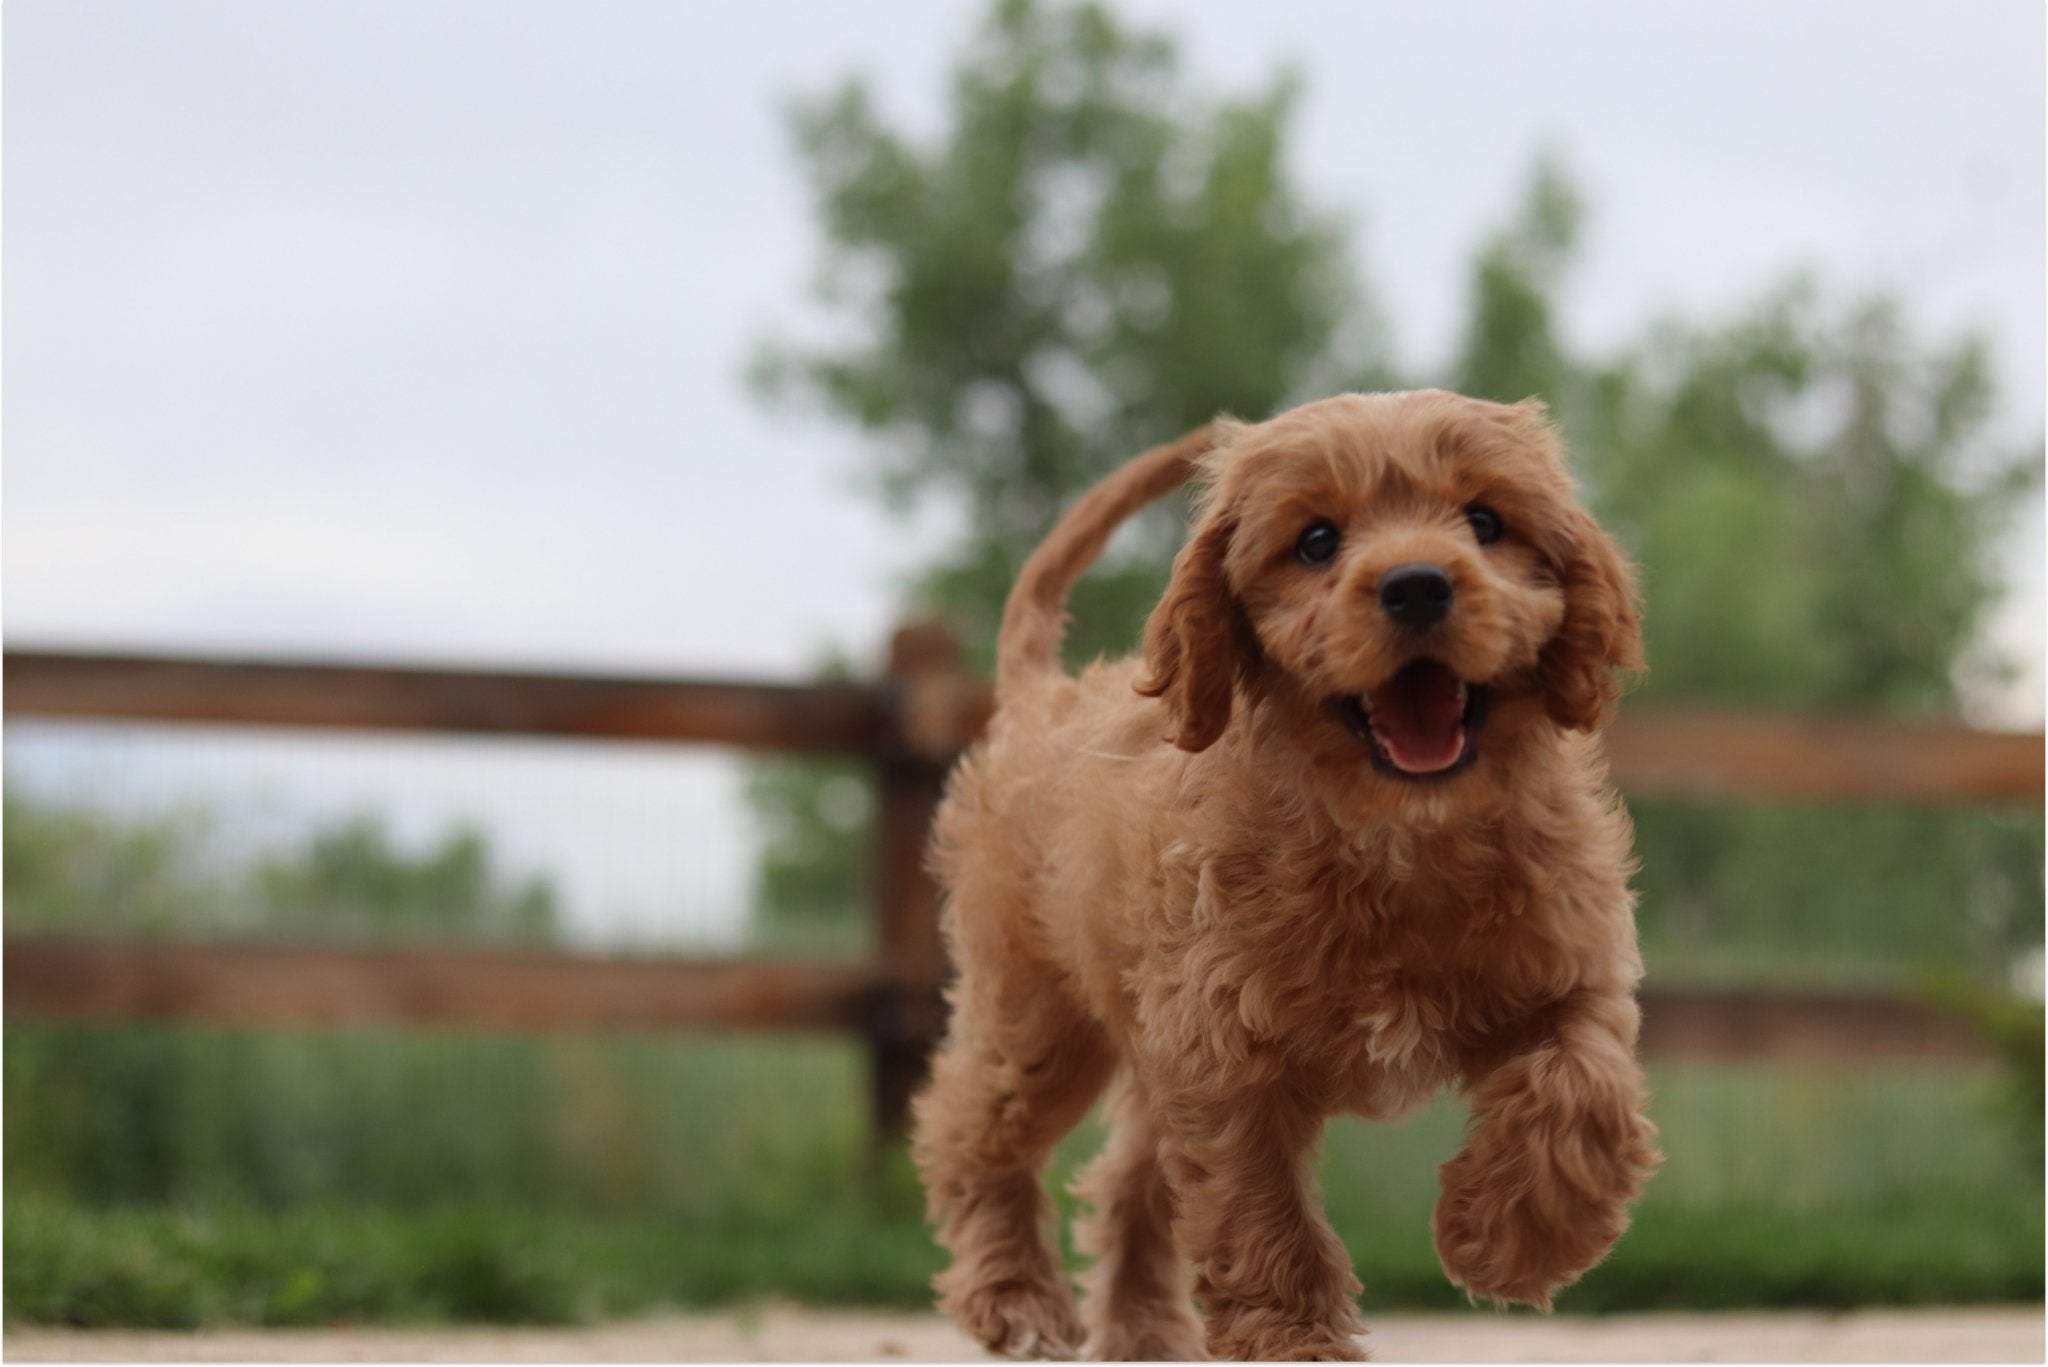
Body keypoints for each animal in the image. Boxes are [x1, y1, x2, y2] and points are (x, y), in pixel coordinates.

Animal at [913, 387, 1662, 1360]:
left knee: (1126, 1180)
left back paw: (1143, 1331)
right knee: (973, 1130)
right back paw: (1018, 1299)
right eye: (1315, 541)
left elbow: (1585, 1090)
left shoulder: (1576, 975)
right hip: (1036, 1011)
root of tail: (1040, 696)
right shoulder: (1227, 1055)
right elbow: (1259, 1210)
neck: (1400, 836)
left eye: (1487, 521)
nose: (1416, 583)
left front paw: (1507, 1239)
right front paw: (1297, 1340)